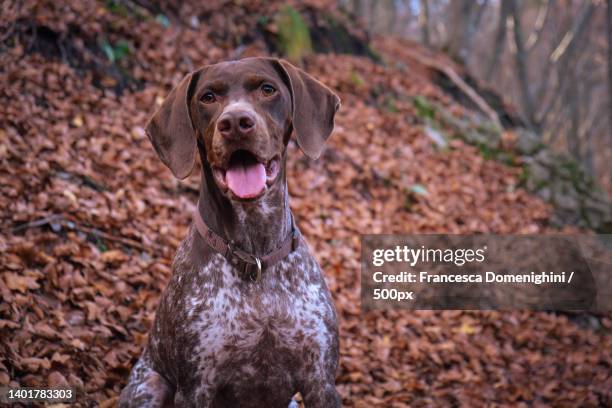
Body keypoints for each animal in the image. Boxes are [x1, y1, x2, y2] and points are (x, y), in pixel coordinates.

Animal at [119, 58, 340, 408]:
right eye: (208, 97)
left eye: (267, 89)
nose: (236, 122)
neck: (256, 256)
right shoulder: (195, 387)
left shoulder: (320, 382)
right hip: (149, 385)